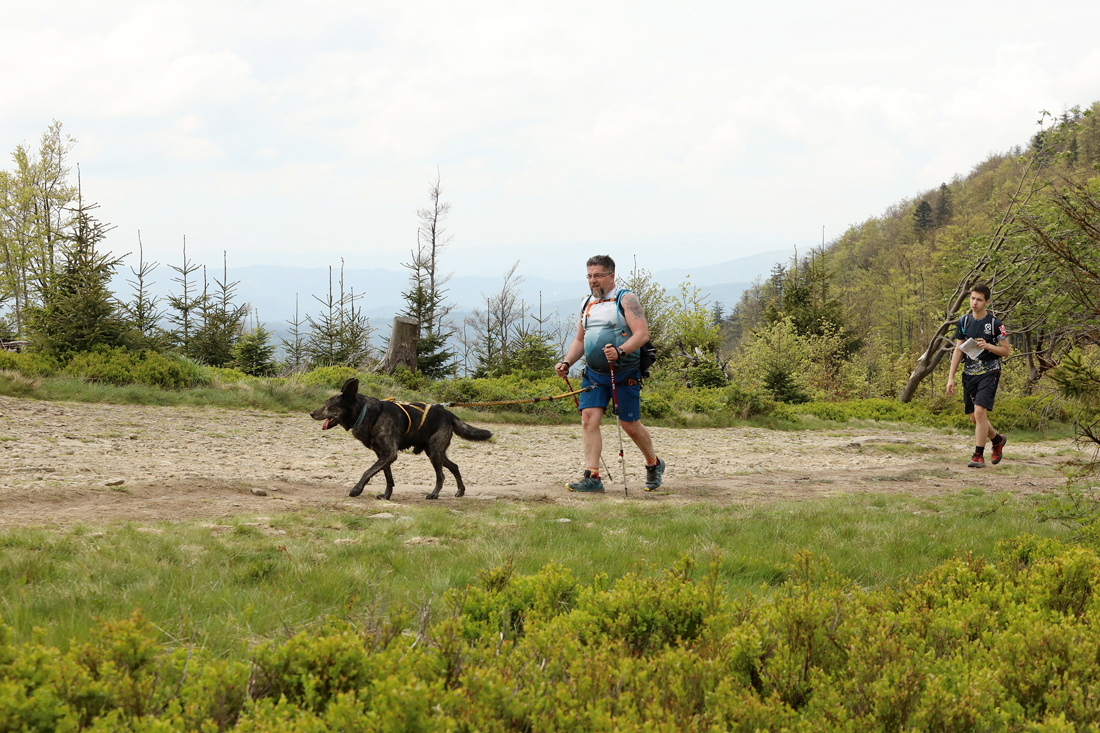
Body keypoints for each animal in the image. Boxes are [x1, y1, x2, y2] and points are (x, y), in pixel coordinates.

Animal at [310, 377, 492, 500]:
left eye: (329, 406)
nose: (311, 413)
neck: (365, 413)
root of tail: (447, 412)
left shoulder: (389, 454)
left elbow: (368, 471)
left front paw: (357, 489)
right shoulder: (382, 455)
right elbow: (388, 477)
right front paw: (386, 495)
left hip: (435, 454)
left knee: (441, 476)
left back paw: (434, 494)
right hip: (435, 453)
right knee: (454, 466)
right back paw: (460, 491)